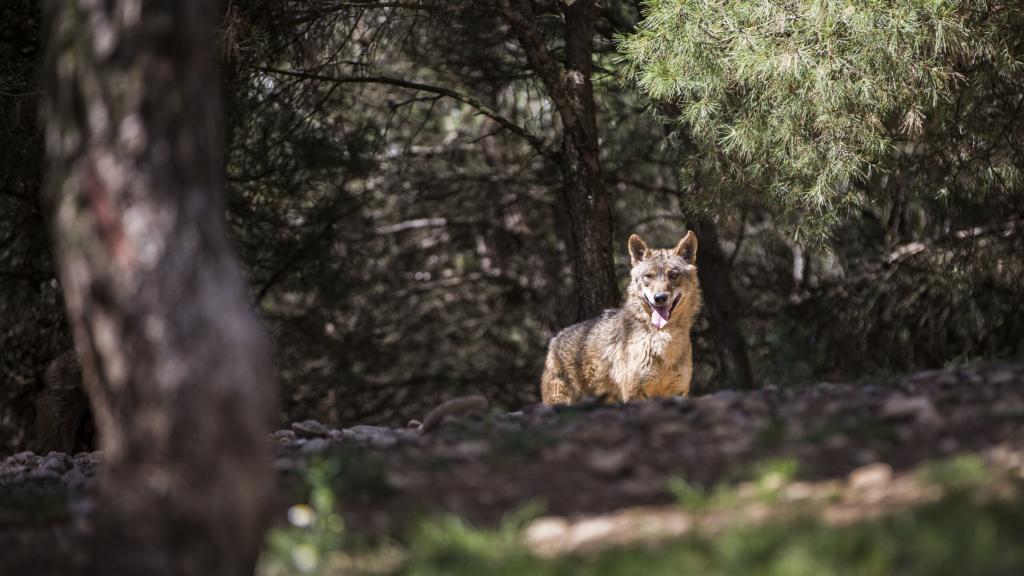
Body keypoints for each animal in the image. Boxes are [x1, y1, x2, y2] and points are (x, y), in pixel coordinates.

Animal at [541, 232, 701, 404]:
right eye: (648, 276)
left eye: (673, 275)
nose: (659, 298)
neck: (662, 340)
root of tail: (555, 339)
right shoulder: (635, 394)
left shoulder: (678, 393)